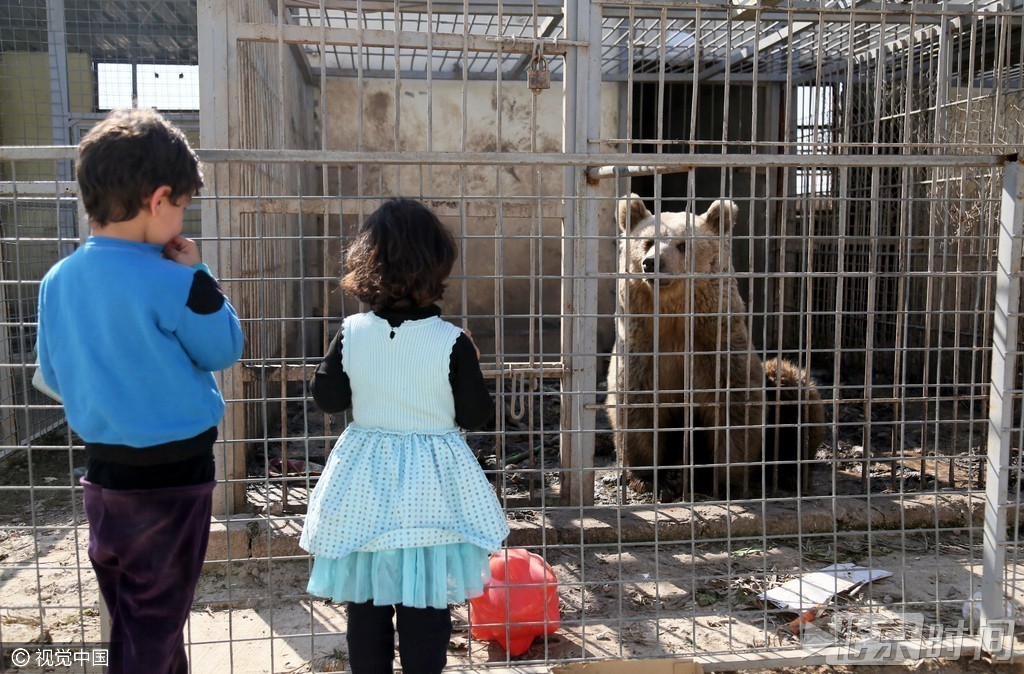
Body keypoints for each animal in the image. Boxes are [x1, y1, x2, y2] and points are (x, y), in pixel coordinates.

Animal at [606, 191, 823, 495]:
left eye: (682, 244)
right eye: (646, 242)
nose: (652, 262)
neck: (676, 320)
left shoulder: (719, 350)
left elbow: (734, 411)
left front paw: (723, 481)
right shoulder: (642, 350)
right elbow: (637, 407)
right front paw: (649, 479)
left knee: (791, 386)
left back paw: (789, 473)